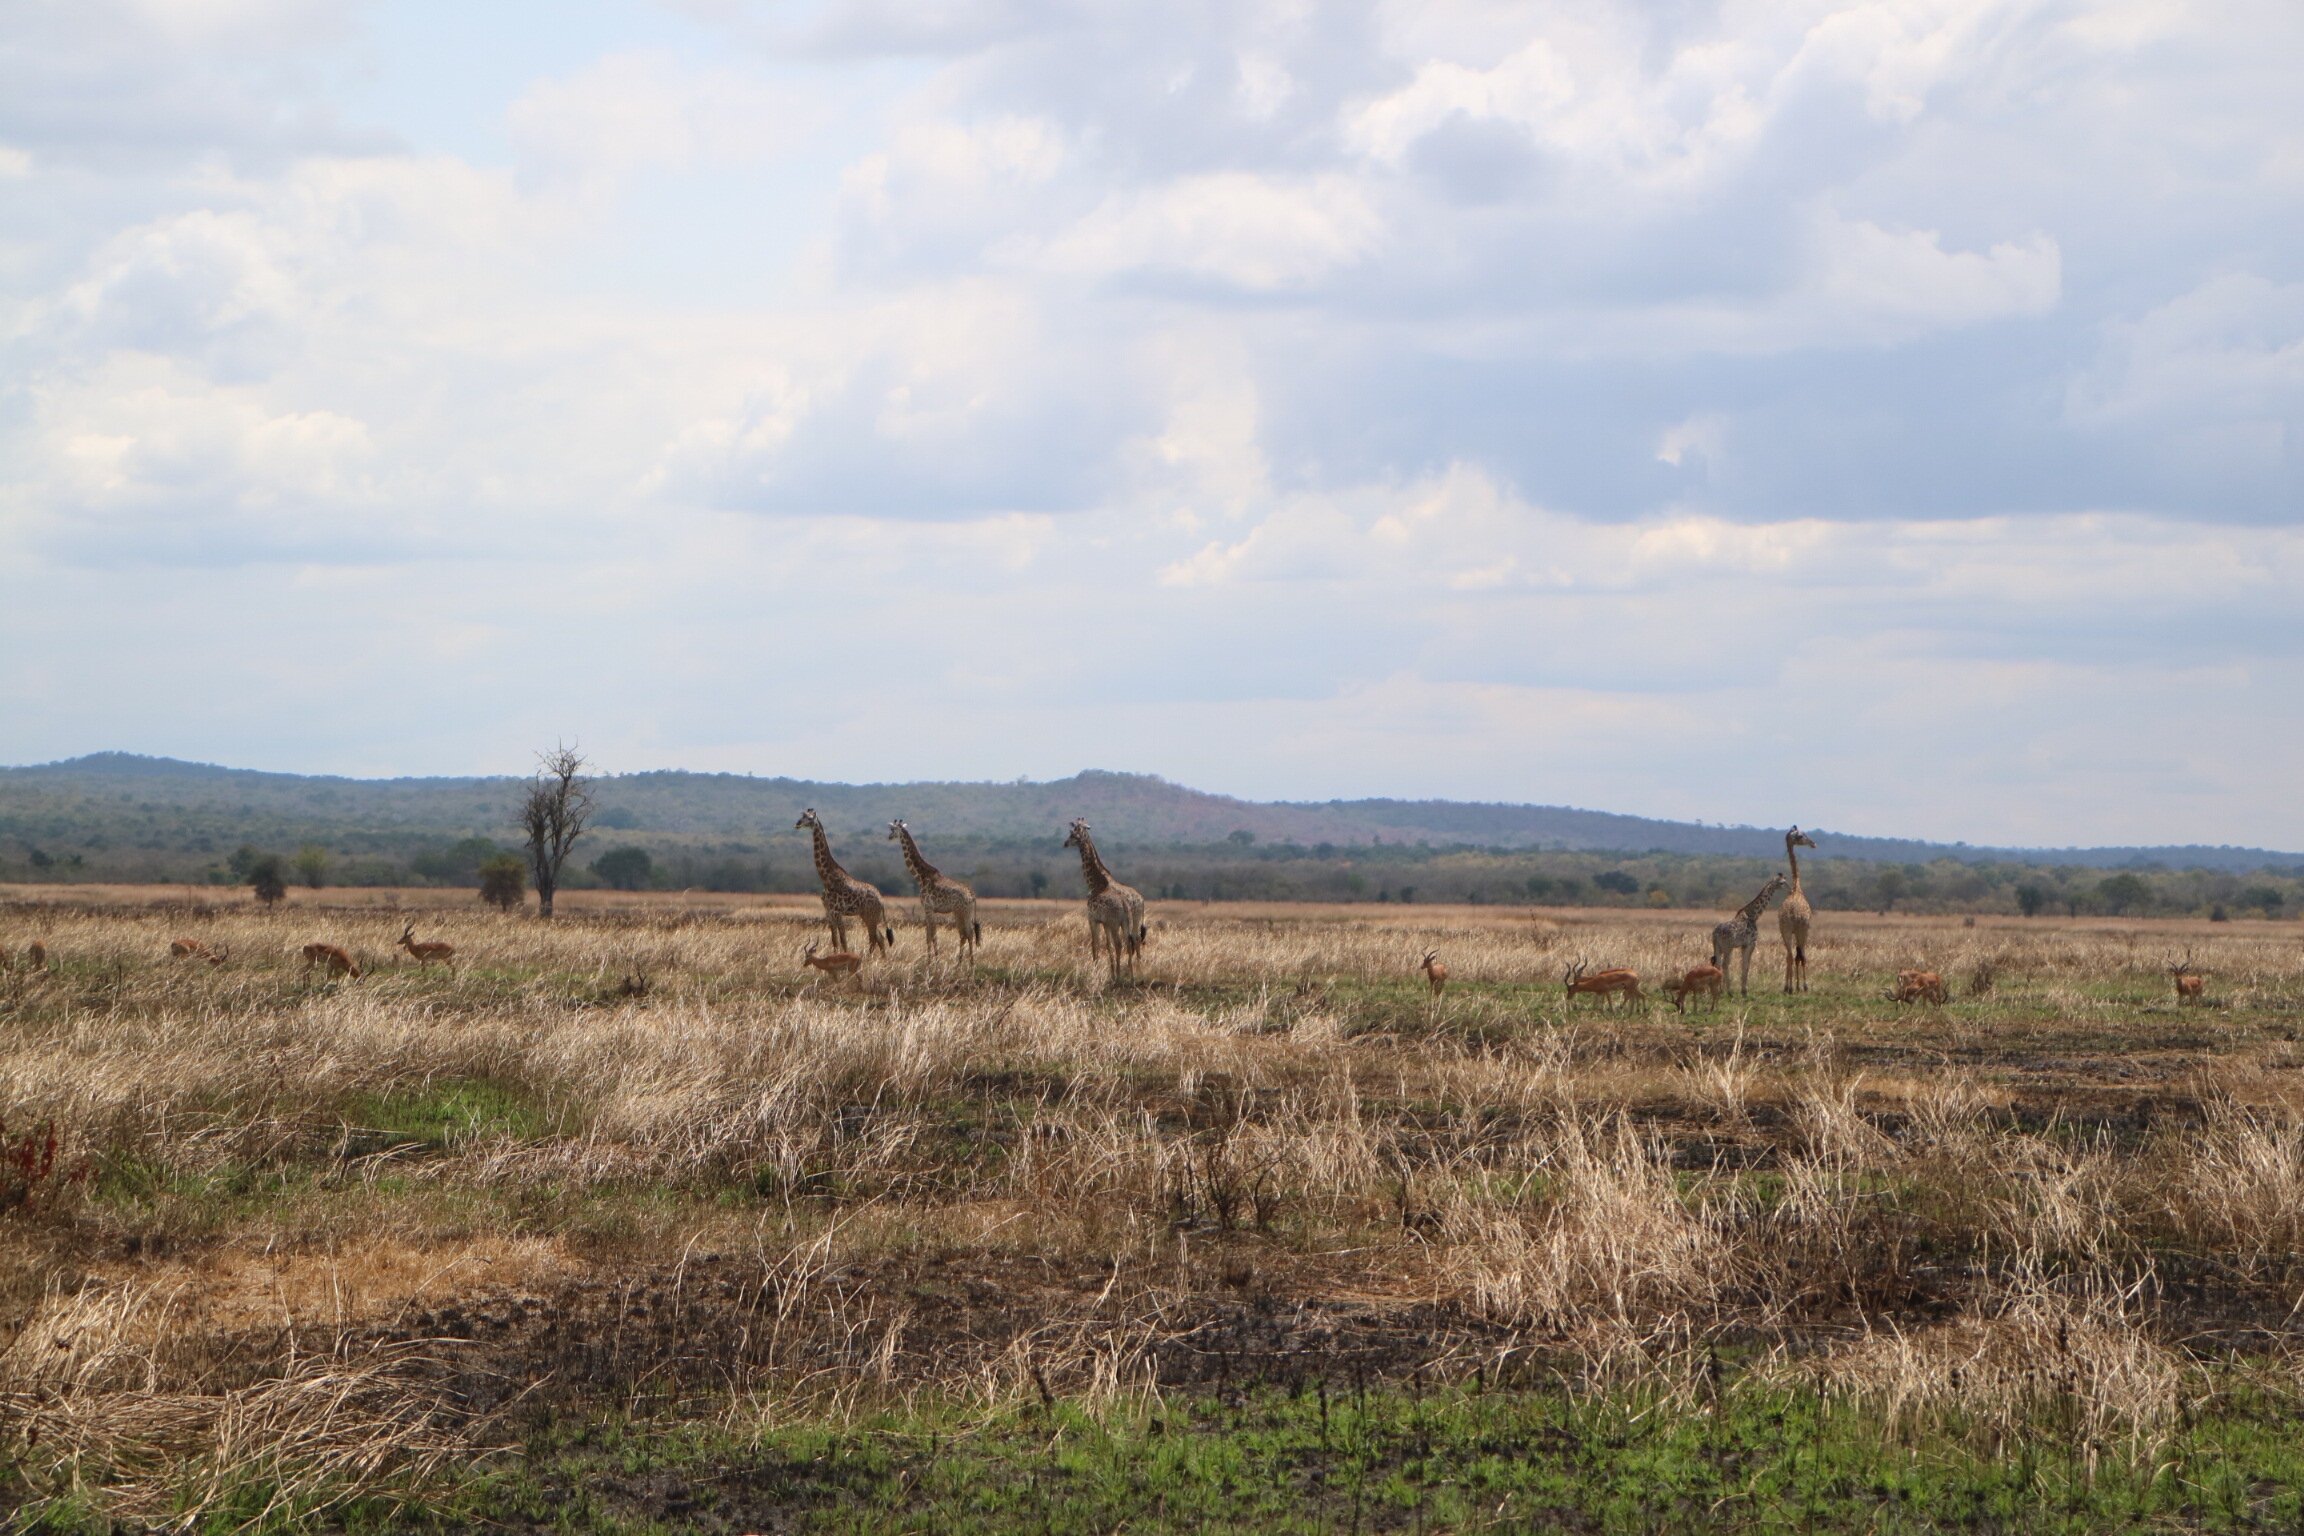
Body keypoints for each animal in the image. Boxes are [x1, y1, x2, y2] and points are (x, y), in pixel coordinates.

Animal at [794, 809, 894, 957]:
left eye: (810, 818)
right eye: (802, 815)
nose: (798, 823)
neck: (826, 878)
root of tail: (882, 901)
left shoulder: (837, 912)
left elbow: (843, 940)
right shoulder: (829, 913)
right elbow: (835, 940)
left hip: (871, 916)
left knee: (873, 938)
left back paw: (871, 959)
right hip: (867, 915)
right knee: (879, 938)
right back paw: (883, 960)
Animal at [887, 819, 981, 960]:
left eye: (893, 830)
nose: (889, 837)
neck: (921, 876)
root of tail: (972, 895)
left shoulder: (928, 908)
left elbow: (931, 935)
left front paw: (932, 960)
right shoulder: (932, 910)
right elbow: (931, 934)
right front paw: (933, 959)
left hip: (960, 912)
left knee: (965, 933)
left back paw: (963, 962)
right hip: (967, 913)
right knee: (968, 934)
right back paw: (967, 962)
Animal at [1063, 818, 1146, 978]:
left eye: (1073, 834)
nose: (1065, 843)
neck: (1097, 883)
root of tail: (1141, 900)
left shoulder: (1093, 918)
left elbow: (1095, 943)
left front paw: (1095, 970)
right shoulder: (1105, 922)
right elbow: (1108, 945)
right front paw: (1111, 972)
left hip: (1123, 922)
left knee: (1126, 942)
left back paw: (1130, 972)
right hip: (1131, 921)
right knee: (1133, 940)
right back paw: (1135, 972)